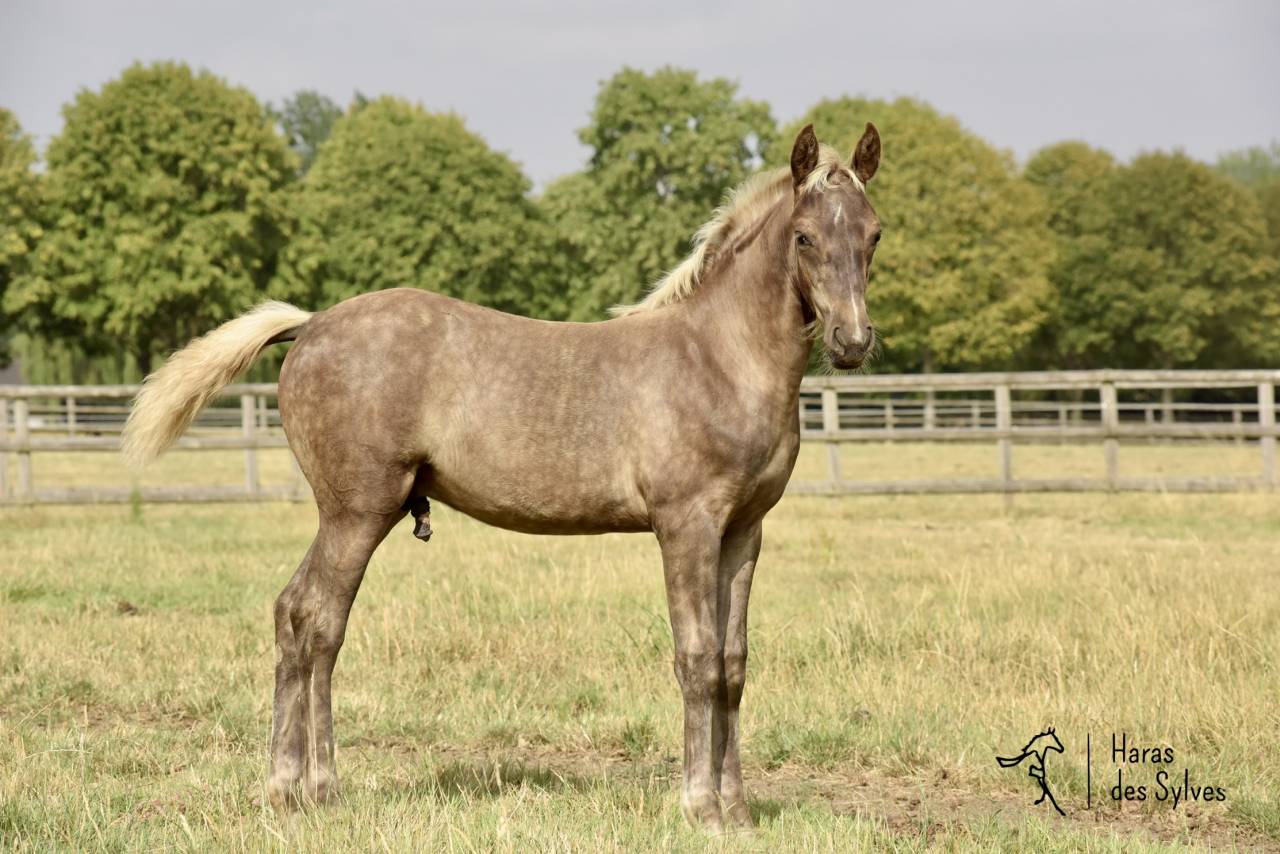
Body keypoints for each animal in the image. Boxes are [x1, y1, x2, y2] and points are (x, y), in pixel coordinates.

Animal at [121, 122, 882, 832]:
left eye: (873, 235)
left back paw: (295, 790)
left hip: (351, 513)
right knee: (318, 621)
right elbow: (695, 659)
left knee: (293, 613)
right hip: (356, 511)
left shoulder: (743, 531)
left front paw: (739, 810)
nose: (851, 343)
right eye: (805, 237)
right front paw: (700, 809)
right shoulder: (685, 525)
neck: (717, 358)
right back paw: (309, 790)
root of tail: (309, 326)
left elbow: (732, 664)